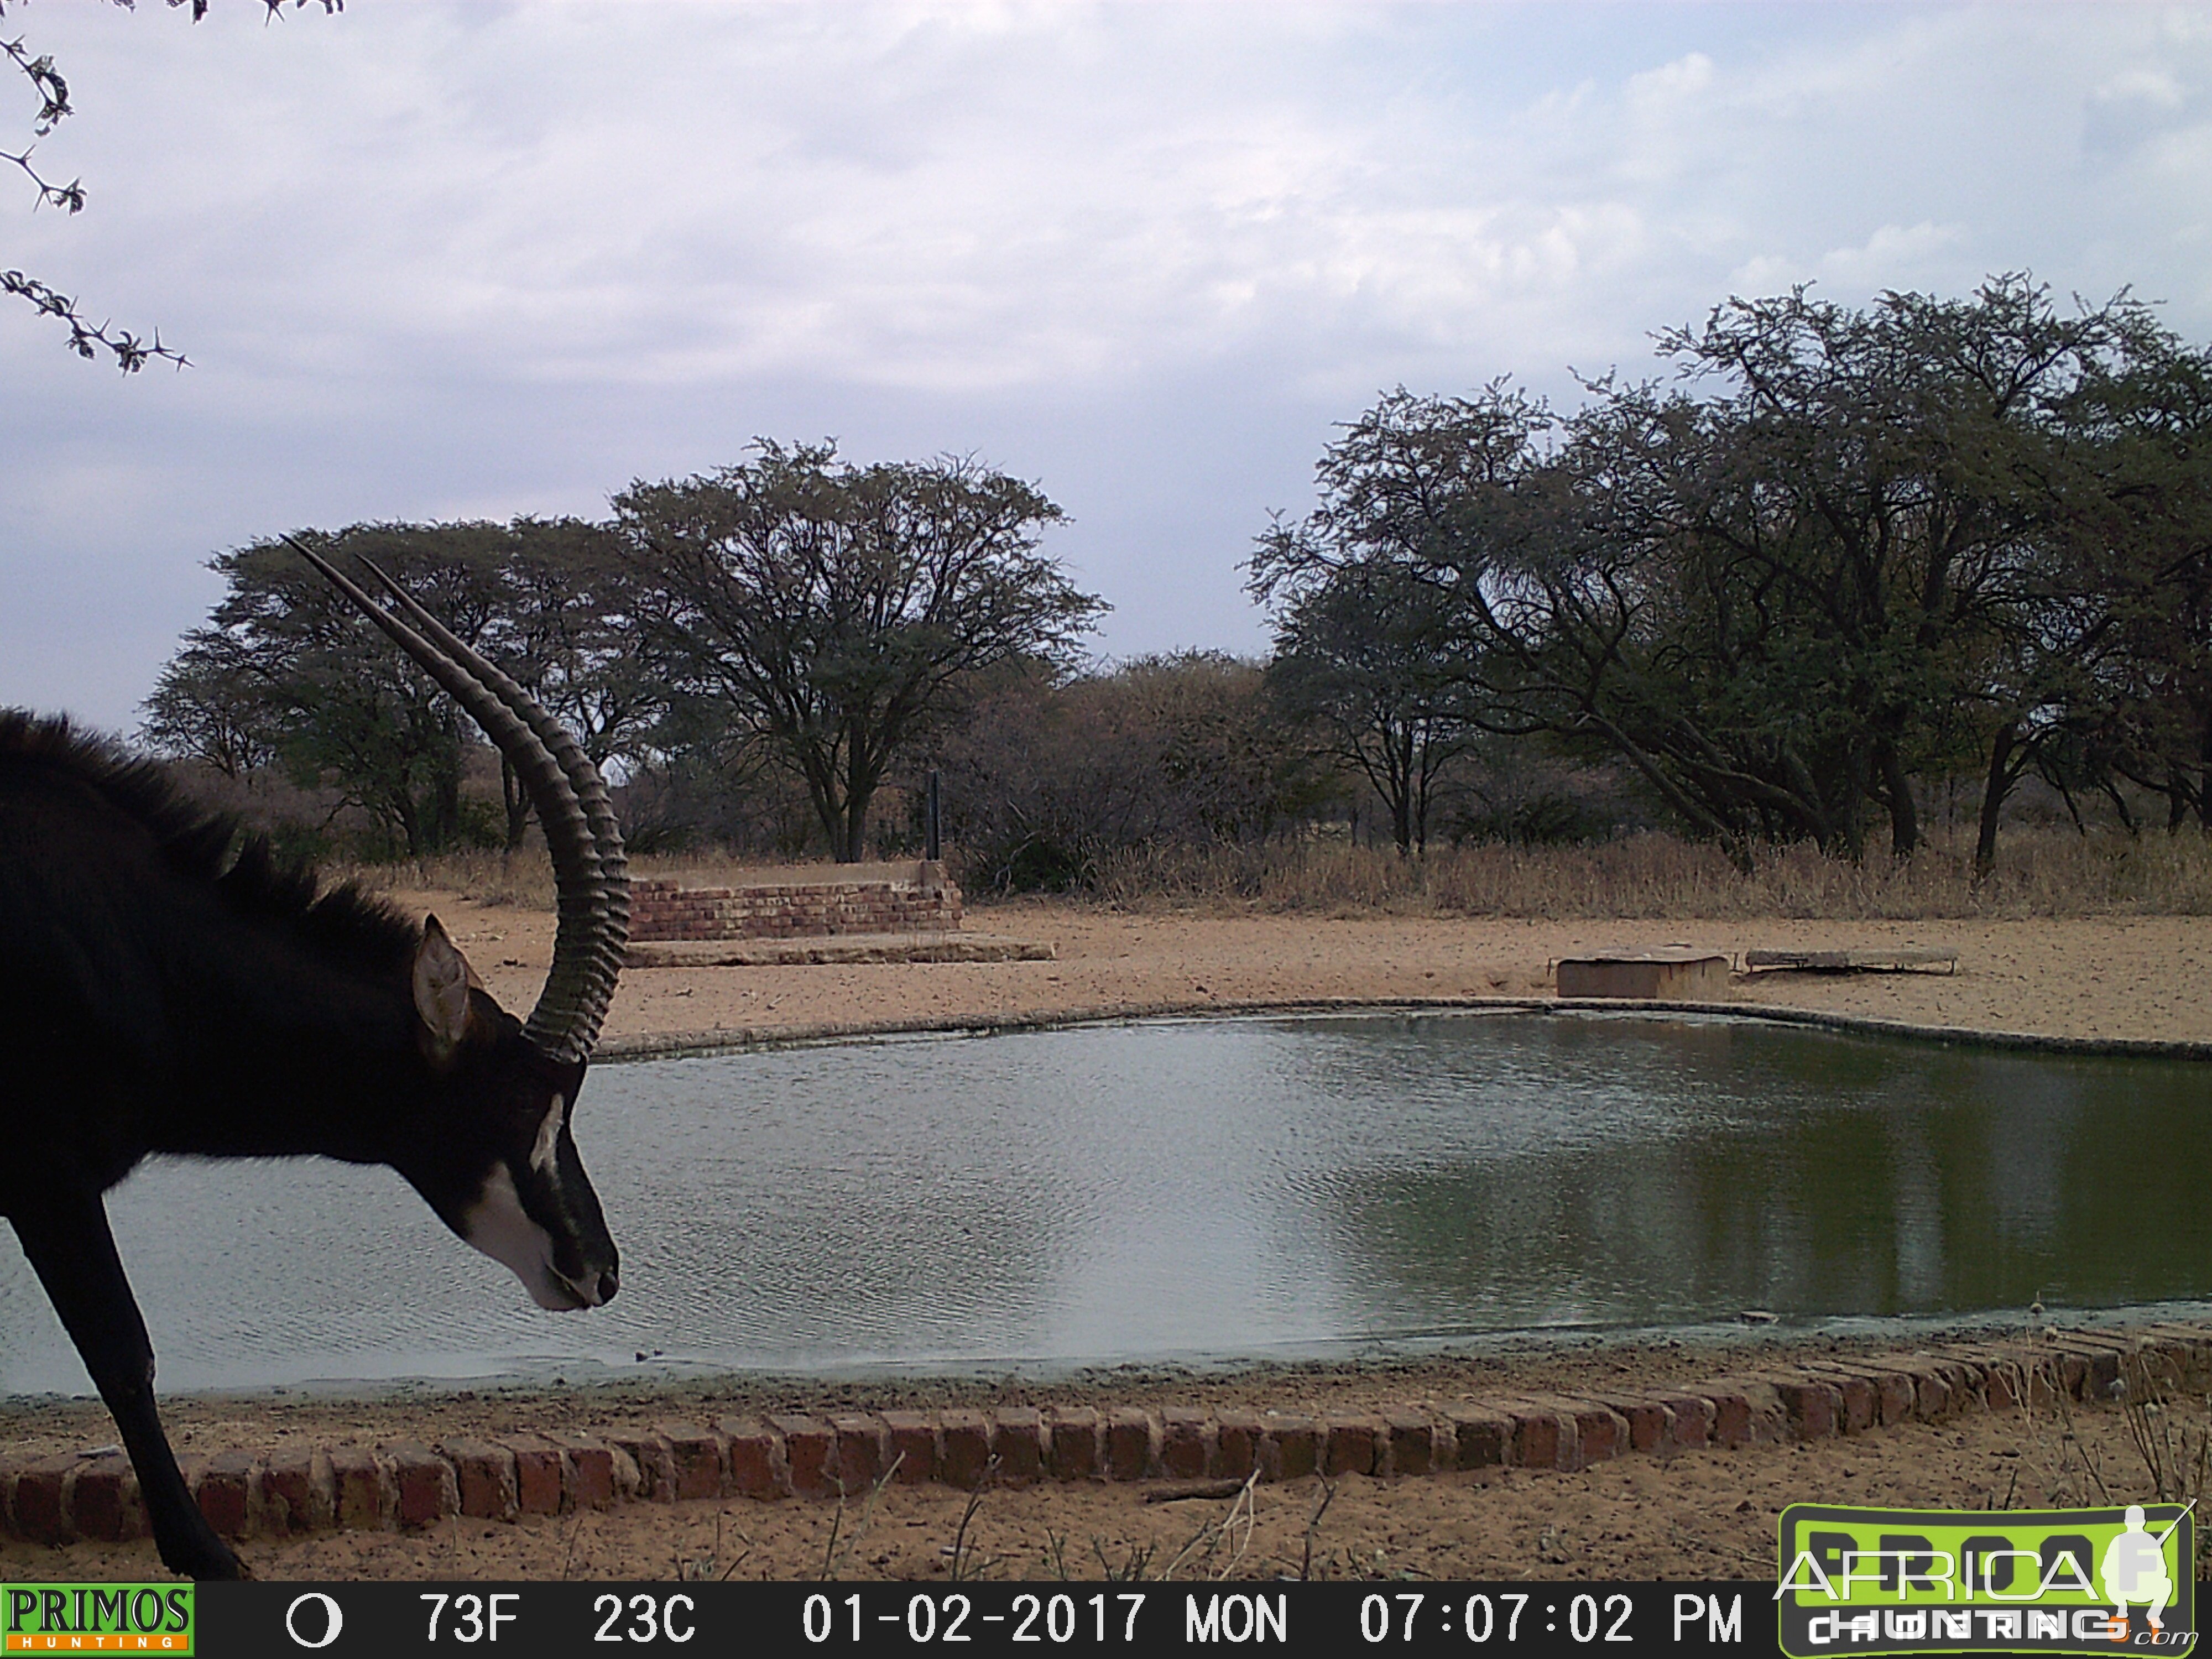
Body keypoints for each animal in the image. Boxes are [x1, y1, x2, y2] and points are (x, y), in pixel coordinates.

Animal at [4, 549, 637, 1584]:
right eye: (518, 1104)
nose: (600, 1273)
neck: (137, 943)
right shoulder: (48, 1178)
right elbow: (123, 1351)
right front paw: (207, 1555)